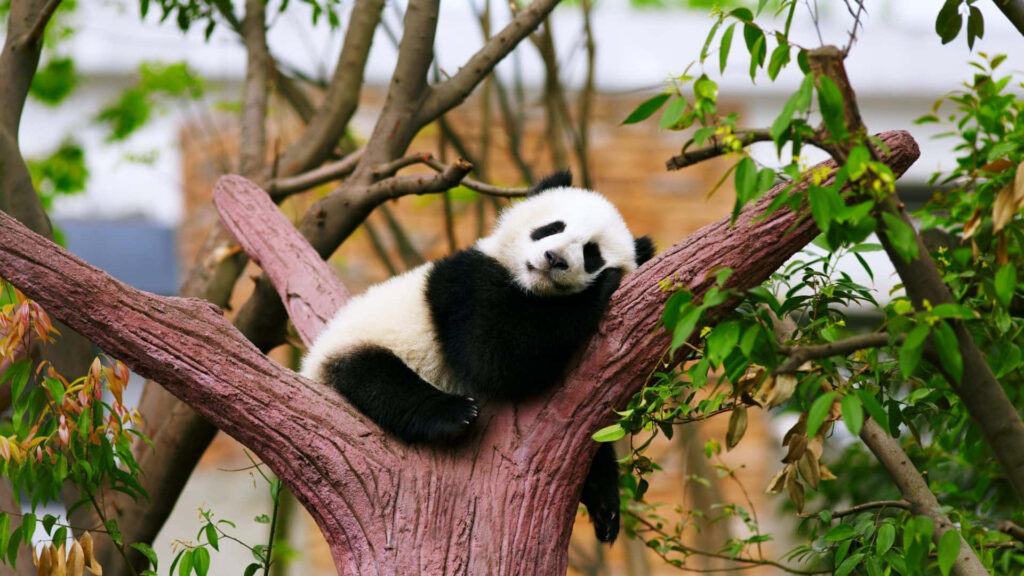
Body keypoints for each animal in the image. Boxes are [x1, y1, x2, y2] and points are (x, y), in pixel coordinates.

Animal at [301, 171, 655, 543]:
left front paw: (605, 503)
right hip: (358, 344)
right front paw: (601, 288)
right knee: (378, 380)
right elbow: (494, 357)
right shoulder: (465, 283)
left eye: (591, 253)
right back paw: (453, 413)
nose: (554, 258)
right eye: (551, 227)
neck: (531, 287)